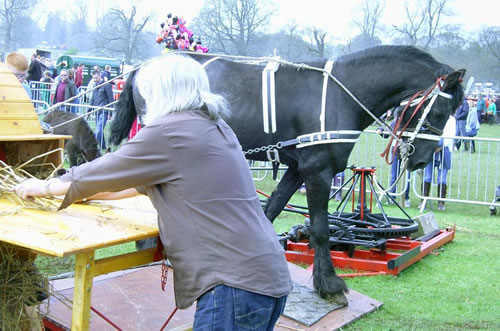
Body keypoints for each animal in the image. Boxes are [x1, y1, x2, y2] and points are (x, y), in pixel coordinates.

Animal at [109, 45, 464, 304]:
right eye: (440, 111)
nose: (421, 159)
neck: (341, 94)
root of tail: (143, 66)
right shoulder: (318, 172)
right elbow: (320, 229)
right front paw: (329, 284)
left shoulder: (297, 169)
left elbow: (271, 211)